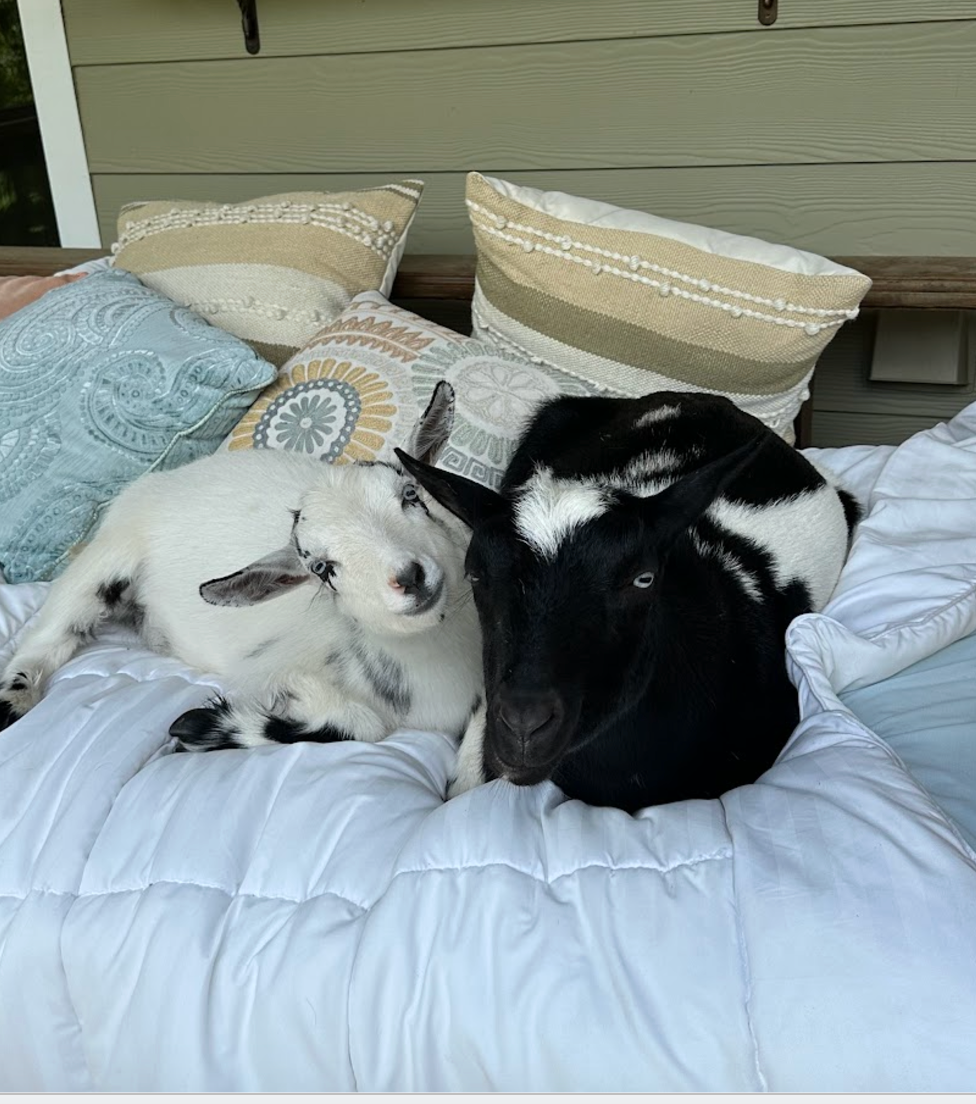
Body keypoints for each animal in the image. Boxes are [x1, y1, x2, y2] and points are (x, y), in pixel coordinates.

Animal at [0, 383, 484, 754]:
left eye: (411, 496)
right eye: (322, 568)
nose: (409, 578)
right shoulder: (268, 669)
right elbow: (362, 724)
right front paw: (206, 724)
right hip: (107, 558)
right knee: (49, 633)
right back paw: (14, 699)